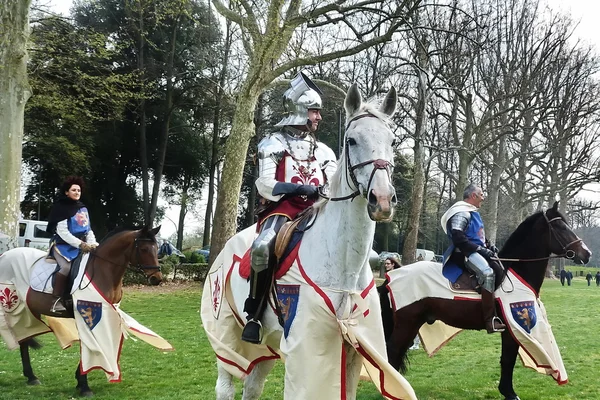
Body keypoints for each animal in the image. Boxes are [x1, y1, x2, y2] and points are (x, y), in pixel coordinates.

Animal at [0, 225, 162, 396]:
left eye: (156, 248)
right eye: (144, 249)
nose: (156, 278)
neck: (102, 271)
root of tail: (5, 255)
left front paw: (80, 381)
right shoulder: (87, 316)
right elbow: (90, 345)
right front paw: (84, 386)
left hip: (28, 309)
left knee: (25, 339)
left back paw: (31, 377)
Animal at [202, 83, 418, 400]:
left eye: (391, 140)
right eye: (351, 140)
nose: (382, 200)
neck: (344, 267)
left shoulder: (355, 349)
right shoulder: (309, 351)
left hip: (265, 346)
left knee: (252, 387)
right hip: (226, 336)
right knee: (226, 385)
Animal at [384, 203, 592, 400]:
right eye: (560, 227)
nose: (587, 254)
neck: (514, 271)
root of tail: (392, 276)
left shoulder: (511, 329)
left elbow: (507, 359)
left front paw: (506, 391)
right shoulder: (512, 328)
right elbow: (508, 359)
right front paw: (509, 393)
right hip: (407, 323)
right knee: (393, 351)